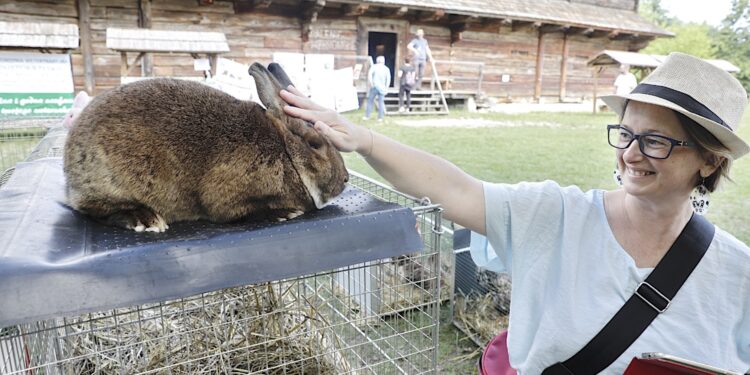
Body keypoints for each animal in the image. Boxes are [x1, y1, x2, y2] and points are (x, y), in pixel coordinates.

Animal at [62, 63, 350, 234]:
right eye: (315, 144)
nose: (346, 179)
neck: (288, 155)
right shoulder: (228, 194)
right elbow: (239, 212)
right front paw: (285, 212)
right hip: (110, 181)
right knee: (91, 209)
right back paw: (145, 219)